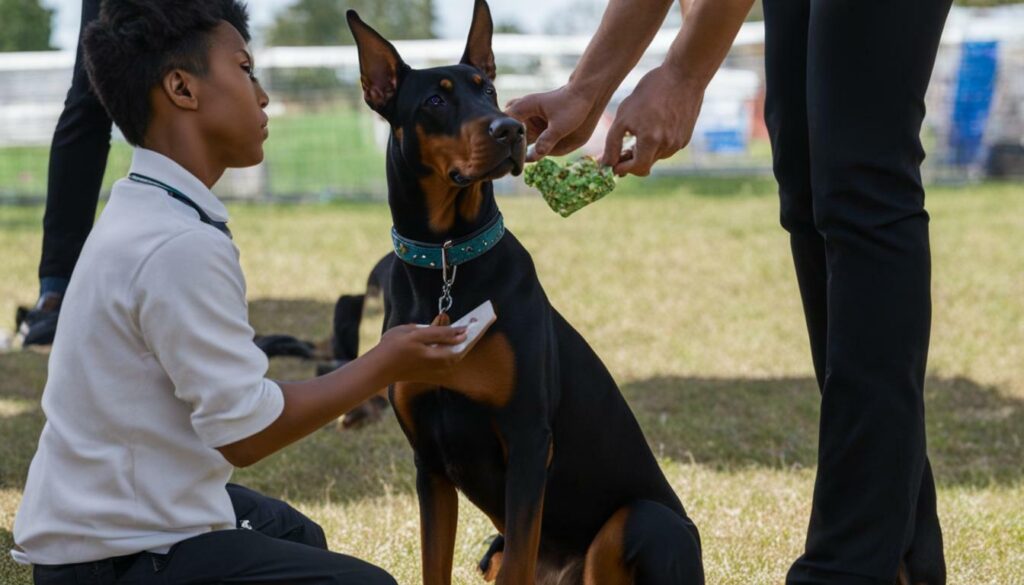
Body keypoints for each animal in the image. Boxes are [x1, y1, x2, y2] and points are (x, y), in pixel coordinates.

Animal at [344, 2, 704, 581]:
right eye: (436, 100)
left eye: (489, 89)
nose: (510, 129)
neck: (446, 263)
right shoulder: (429, 461)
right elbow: (434, 561)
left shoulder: (529, 441)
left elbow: (519, 555)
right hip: (493, 545)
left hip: (641, 520)